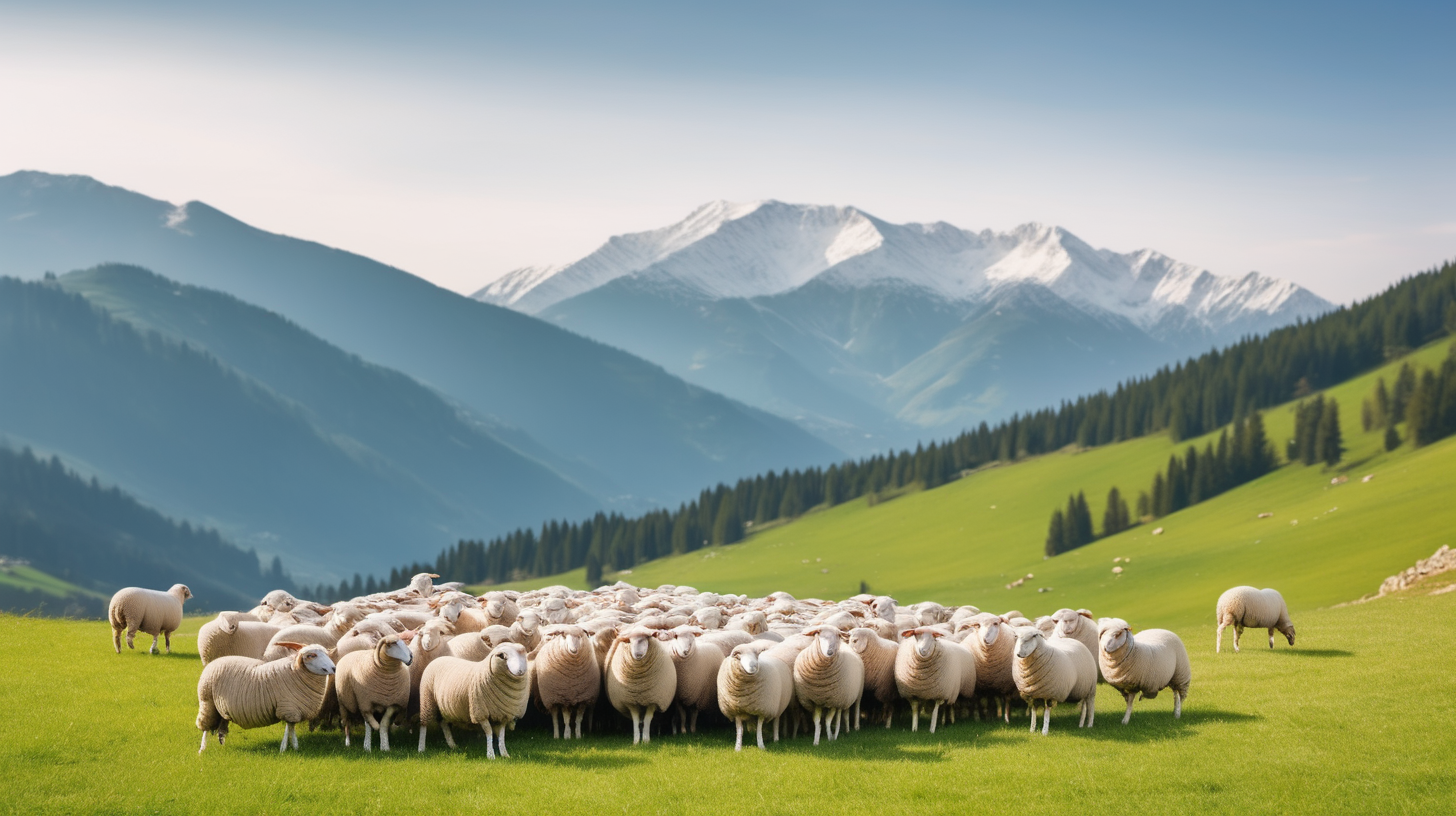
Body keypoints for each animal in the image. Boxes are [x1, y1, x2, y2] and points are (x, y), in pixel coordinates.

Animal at [196, 644, 334, 751]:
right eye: (311, 655)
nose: (333, 668)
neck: (295, 671)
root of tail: (213, 662)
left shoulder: (294, 710)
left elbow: (292, 728)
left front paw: (295, 747)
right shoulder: (287, 707)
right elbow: (288, 729)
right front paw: (283, 749)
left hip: (220, 708)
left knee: (222, 723)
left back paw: (221, 742)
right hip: (207, 702)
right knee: (205, 727)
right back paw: (202, 749)